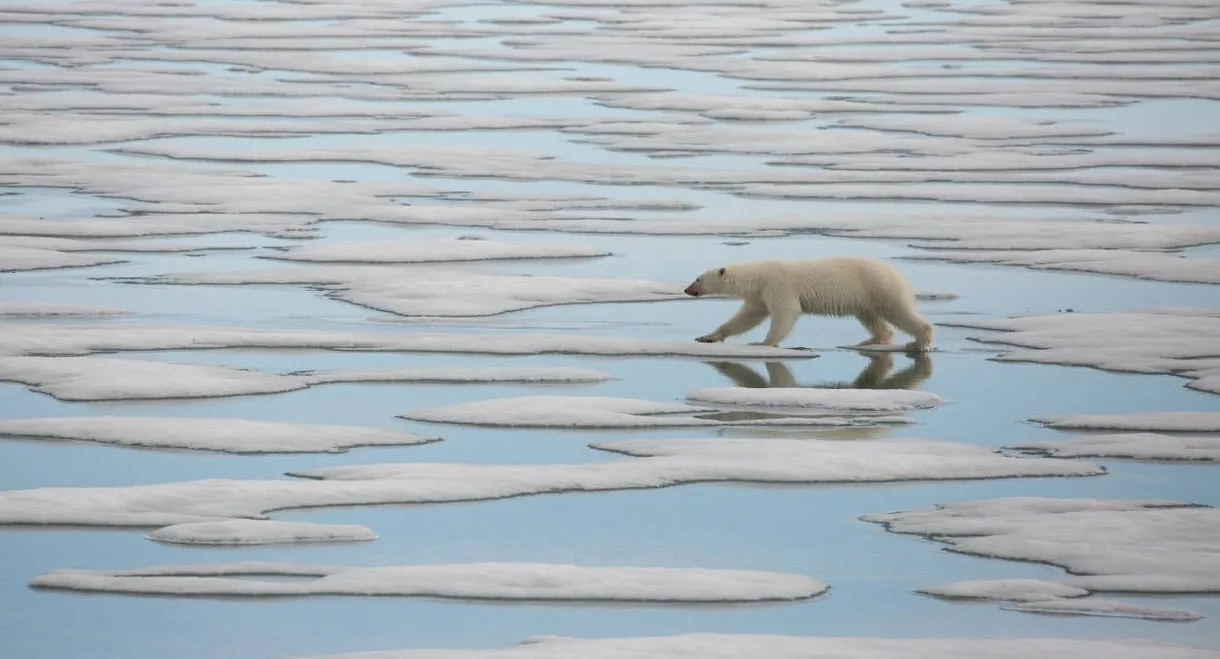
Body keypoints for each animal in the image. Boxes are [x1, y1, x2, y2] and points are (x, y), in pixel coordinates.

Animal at [688, 256, 932, 351]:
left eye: (698, 278)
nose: (687, 289)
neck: (759, 276)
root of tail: (897, 273)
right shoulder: (761, 294)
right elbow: (749, 316)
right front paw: (707, 337)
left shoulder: (778, 286)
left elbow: (786, 312)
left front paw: (763, 343)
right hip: (865, 298)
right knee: (871, 317)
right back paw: (869, 341)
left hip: (878, 287)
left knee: (896, 311)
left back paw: (918, 342)